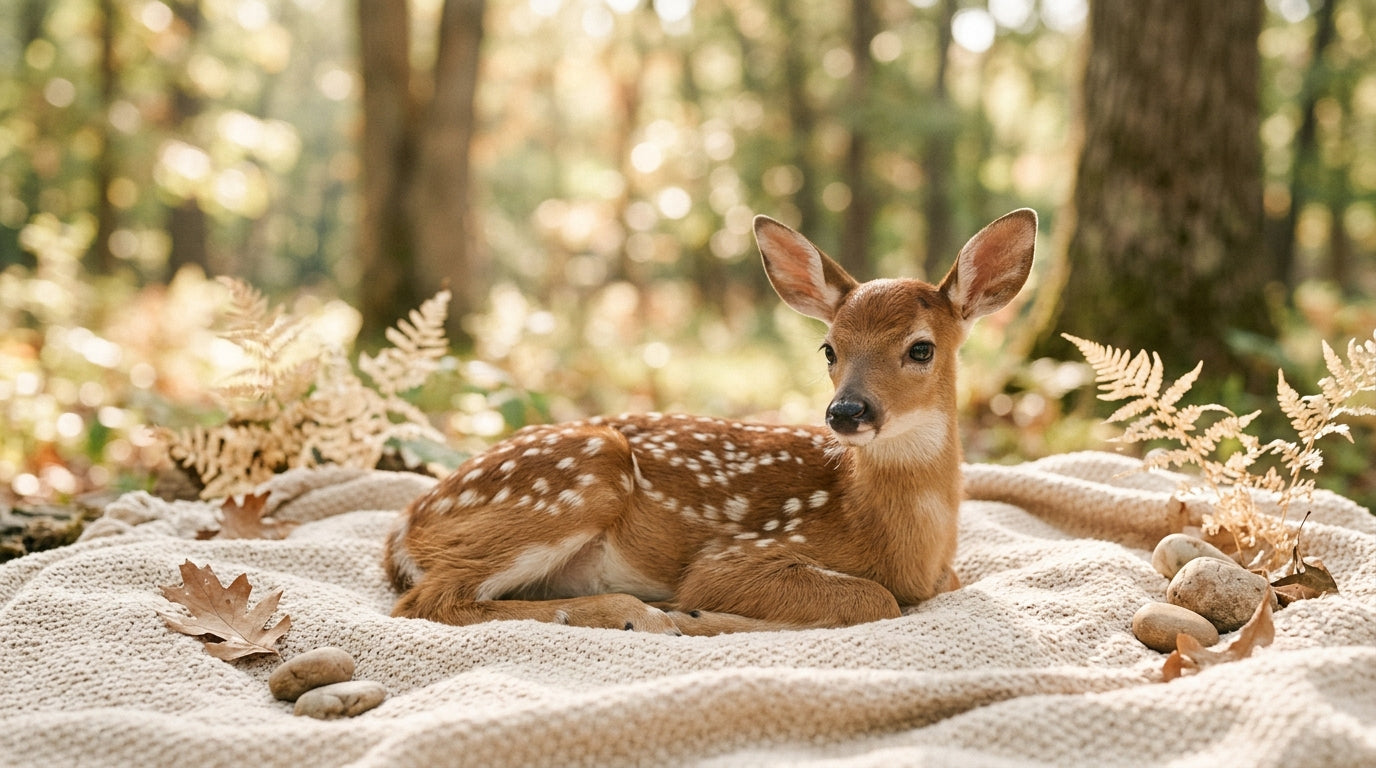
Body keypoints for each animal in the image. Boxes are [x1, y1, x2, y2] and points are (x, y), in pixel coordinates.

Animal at [384, 208, 1036, 636]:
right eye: (829, 348)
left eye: (921, 349)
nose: (847, 411)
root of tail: (405, 529)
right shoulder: (736, 555)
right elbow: (873, 599)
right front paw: (704, 615)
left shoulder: (944, 577)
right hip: (581, 475)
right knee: (429, 600)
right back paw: (637, 614)